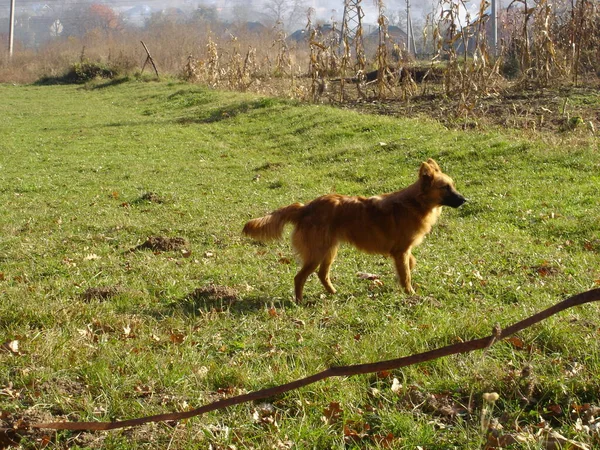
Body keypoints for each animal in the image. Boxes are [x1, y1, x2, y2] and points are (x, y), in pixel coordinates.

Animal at [241, 158, 466, 302]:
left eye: (452, 186)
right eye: (445, 187)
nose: (465, 200)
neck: (415, 202)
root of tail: (306, 207)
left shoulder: (403, 251)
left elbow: (410, 264)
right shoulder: (400, 250)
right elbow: (406, 275)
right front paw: (410, 293)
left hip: (329, 251)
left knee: (322, 274)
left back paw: (332, 293)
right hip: (317, 253)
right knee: (300, 277)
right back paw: (299, 301)